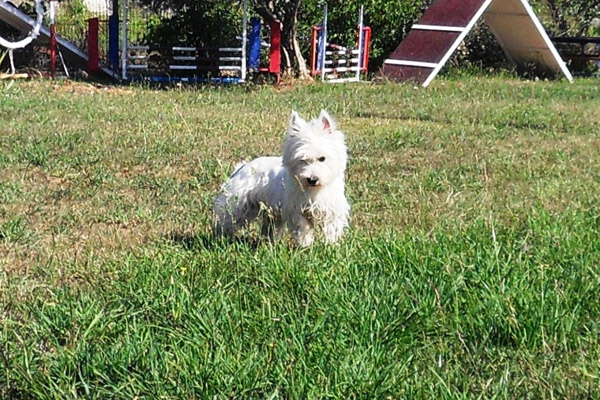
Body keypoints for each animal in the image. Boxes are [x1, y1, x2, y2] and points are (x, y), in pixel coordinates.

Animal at [213, 109, 350, 247]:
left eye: (322, 158)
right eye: (302, 159)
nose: (312, 179)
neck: (314, 190)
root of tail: (242, 167)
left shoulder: (332, 211)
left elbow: (331, 230)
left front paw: (331, 245)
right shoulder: (297, 211)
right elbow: (303, 229)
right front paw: (305, 246)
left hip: (269, 212)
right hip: (239, 205)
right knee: (227, 220)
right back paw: (221, 238)